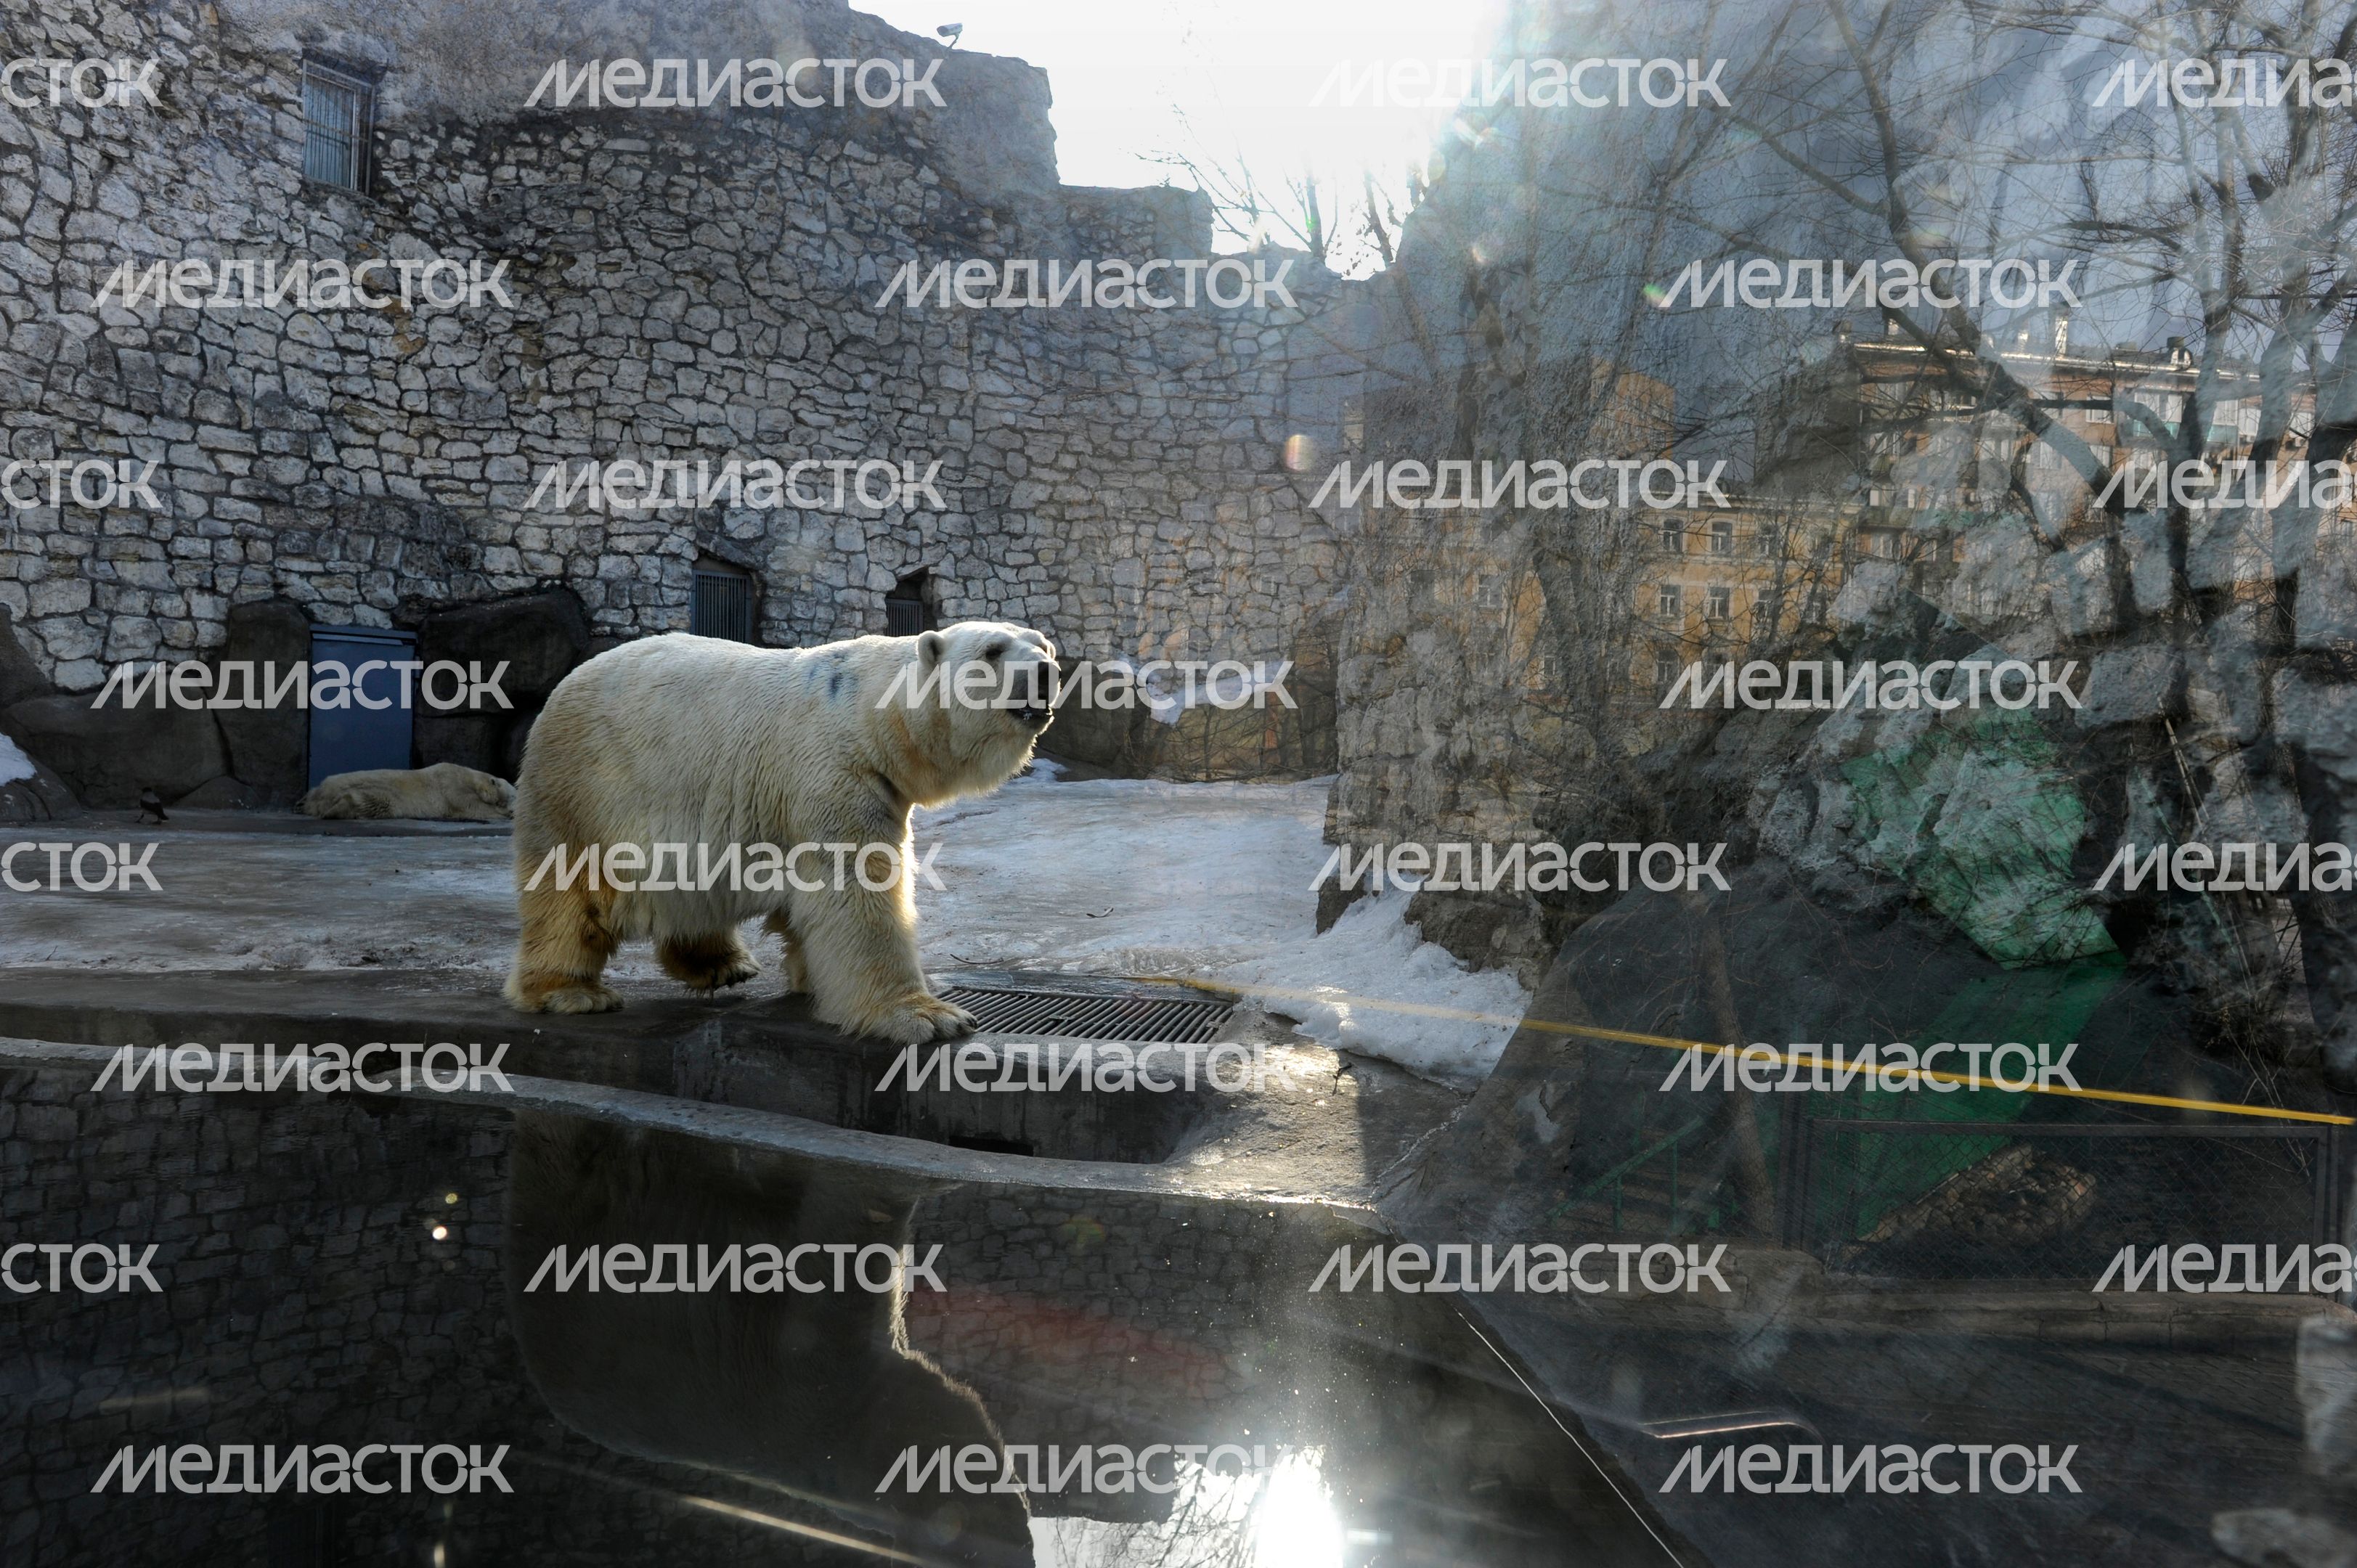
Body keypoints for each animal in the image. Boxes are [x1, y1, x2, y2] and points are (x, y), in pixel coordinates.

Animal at [300, 761, 516, 821]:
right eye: (514, 794)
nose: (514, 806)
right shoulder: (452, 786)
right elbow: (471, 807)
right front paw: (506, 813)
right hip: (388, 793)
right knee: (377, 802)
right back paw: (334, 811)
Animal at [504, 622, 1057, 1042]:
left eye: (1045, 643)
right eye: (992, 651)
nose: (1046, 672)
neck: (871, 717)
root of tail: (564, 686)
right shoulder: (835, 772)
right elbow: (860, 890)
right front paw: (929, 1016)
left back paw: (722, 963)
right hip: (585, 788)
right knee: (570, 892)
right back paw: (572, 991)